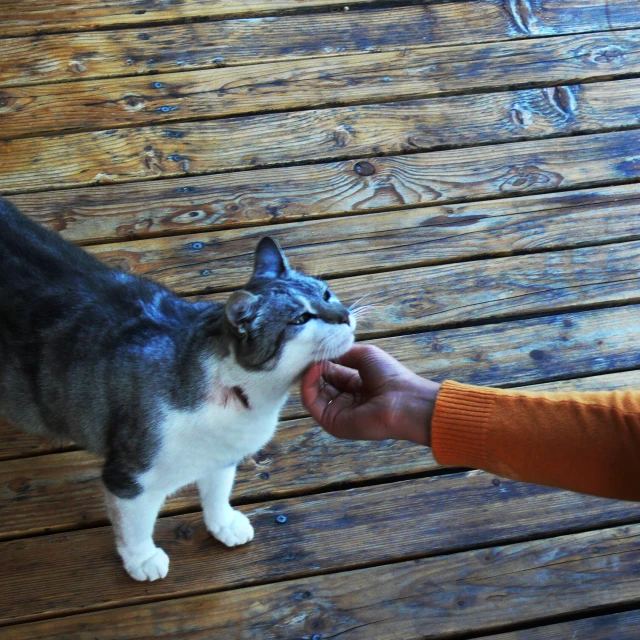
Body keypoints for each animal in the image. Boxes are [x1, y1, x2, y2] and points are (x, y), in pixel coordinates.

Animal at [0, 199, 356, 580]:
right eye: (300, 319)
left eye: (326, 294)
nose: (345, 315)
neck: (250, 400)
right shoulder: (130, 477)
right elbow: (135, 525)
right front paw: (142, 559)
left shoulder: (220, 455)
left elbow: (217, 490)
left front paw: (223, 523)